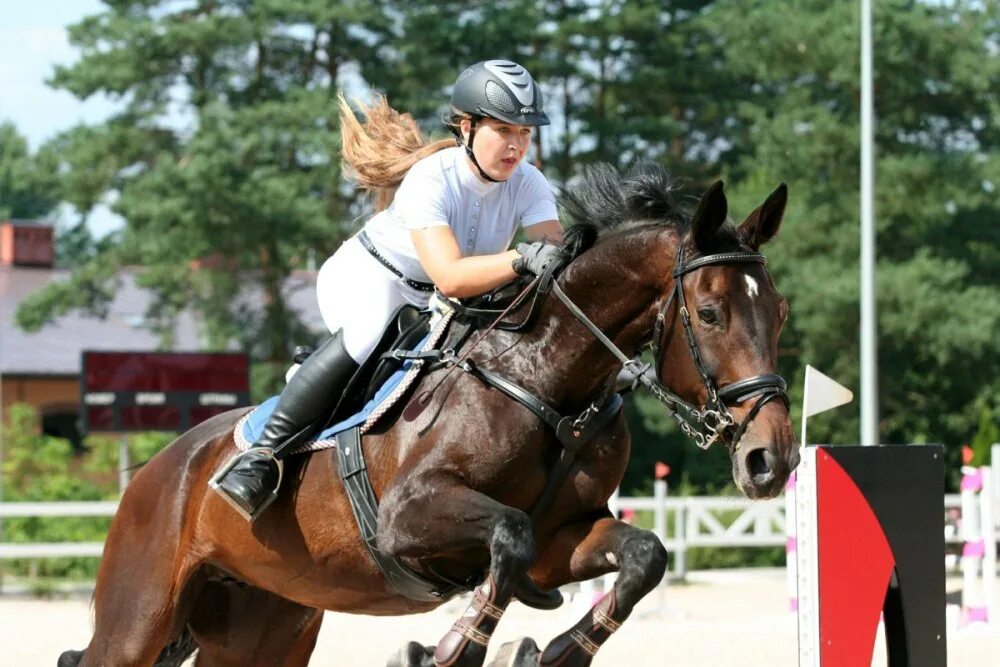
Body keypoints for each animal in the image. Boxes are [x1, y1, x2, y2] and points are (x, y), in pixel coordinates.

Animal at [60, 163, 796, 667]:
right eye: (710, 313)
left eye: (781, 311)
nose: (772, 458)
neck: (546, 379)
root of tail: (155, 469)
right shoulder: (407, 517)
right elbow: (510, 534)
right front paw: (455, 648)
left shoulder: (564, 537)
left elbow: (643, 553)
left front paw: (557, 651)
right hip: (139, 618)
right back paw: (249, 474)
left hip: (263, 624)